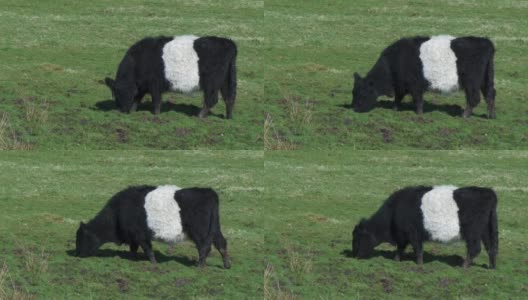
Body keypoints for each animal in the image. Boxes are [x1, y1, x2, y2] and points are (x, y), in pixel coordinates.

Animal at [73, 184, 229, 268]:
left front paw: (153, 263)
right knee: (221, 243)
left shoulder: (141, 235)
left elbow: (148, 249)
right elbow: (134, 249)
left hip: (199, 232)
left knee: (204, 247)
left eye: (81, 238)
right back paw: (227, 265)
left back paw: (199, 266)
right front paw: (133, 259)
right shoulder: (134, 237)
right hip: (214, 229)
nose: (77, 254)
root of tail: (208, 192)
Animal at [105, 35, 237, 118]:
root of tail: (228, 42)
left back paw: (199, 115)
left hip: (212, 83)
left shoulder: (154, 84)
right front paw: (133, 110)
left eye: (120, 92)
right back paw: (228, 117)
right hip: (226, 80)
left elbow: (156, 100)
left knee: (212, 99)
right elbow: (138, 97)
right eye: (115, 94)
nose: (122, 111)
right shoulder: (143, 85)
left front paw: (156, 115)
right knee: (229, 98)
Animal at [352, 35, 498, 118]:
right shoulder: (401, 85)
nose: (354, 108)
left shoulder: (415, 84)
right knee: (490, 94)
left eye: (363, 92)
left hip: (471, 81)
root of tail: (485, 42)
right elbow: (398, 97)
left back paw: (464, 115)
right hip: (486, 78)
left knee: (474, 98)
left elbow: (417, 99)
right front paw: (395, 109)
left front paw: (419, 114)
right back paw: (490, 116)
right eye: (353, 92)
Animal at [352, 186, 498, 268]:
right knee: (491, 248)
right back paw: (491, 266)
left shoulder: (412, 233)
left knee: (475, 248)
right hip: (485, 230)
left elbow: (417, 249)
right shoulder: (403, 236)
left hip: (472, 232)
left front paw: (419, 264)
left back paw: (464, 265)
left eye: (358, 237)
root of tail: (488, 192)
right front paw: (396, 259)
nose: (354, 255)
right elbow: (401, 248)